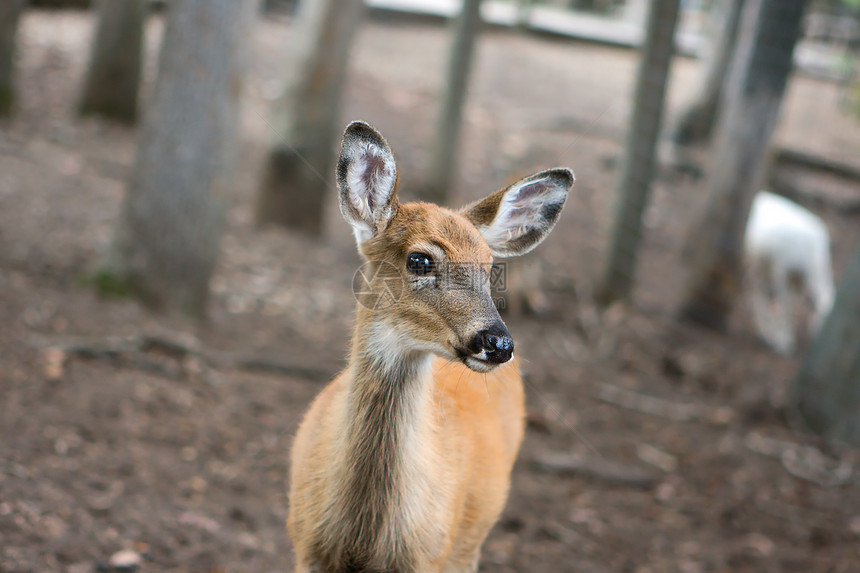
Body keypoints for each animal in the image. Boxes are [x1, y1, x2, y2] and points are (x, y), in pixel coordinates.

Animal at [286, 122, 576, 572]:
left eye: (489, 269)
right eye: (420, 260)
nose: (498, 342)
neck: (365, 540)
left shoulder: (433, 558)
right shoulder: (305, 549)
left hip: (469, 543)